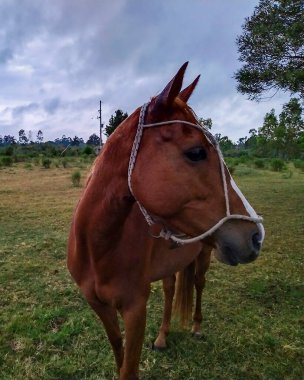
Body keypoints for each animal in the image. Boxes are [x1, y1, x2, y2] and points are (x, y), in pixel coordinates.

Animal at [66, 62, 264, 380]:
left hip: (204, 255)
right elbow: (118, 352)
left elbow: (129, 368)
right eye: (196, 152)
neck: (99, 248)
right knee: (171, 290)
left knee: (198, 284)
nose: (256, 235)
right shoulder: (100, 307)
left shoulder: (135, 308)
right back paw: (162, 336)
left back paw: (196, 326)